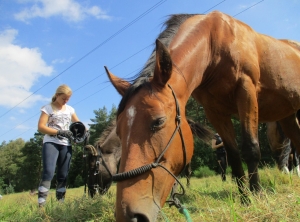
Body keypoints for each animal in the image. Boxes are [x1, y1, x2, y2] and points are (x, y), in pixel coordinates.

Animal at [104, 11, 300, 221]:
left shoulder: (246, 90)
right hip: (288, 117)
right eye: (119, 132)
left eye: (158, 121)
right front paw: (245, 199)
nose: (128, 215)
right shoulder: (214, 110)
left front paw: (257, 196)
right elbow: (234, 155)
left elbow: (251, 148)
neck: (215, 43)